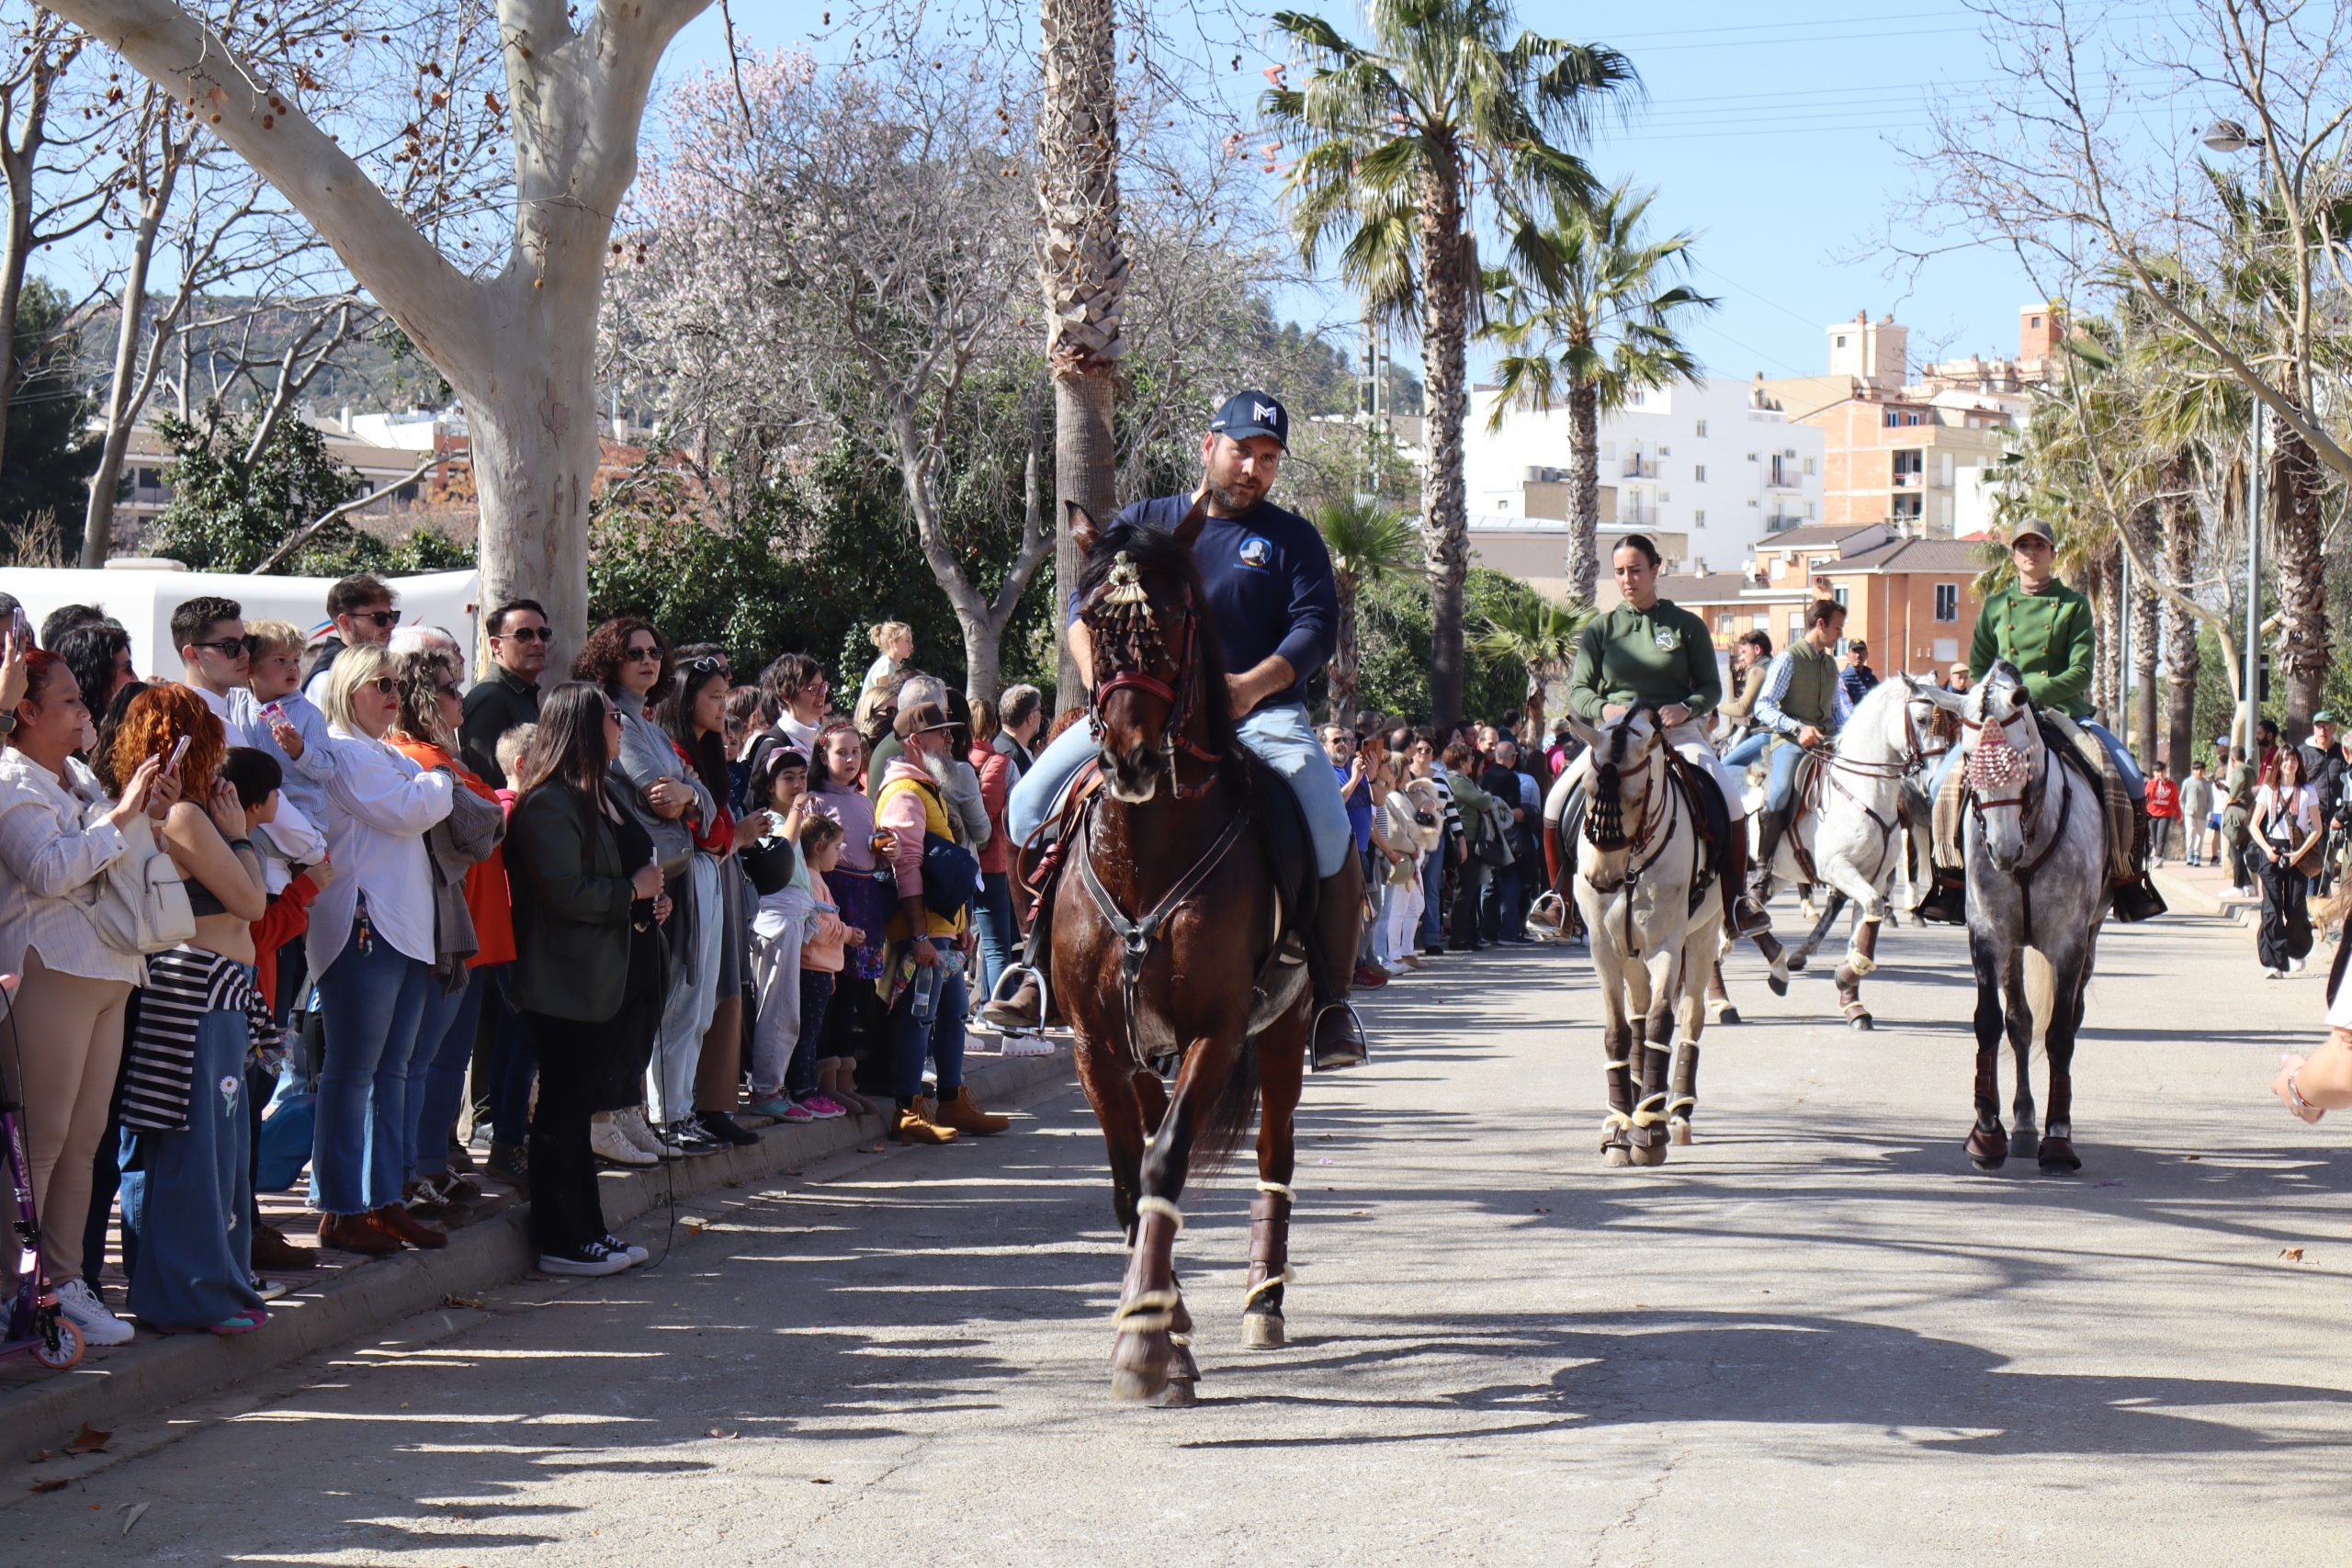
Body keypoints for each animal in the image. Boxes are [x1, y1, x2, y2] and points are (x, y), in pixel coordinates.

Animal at [1046, 501, 1315, 1405]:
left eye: (1170, 619)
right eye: (1098, 621)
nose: (1127, 758)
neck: (1147, 853)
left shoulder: (1218, 1029)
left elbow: (1164, 1164)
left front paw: (1145, 1347)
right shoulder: (1096, 1041)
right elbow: (1131, 1179)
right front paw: (1156, 1319)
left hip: (1287, 1032)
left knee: (1275, 1154)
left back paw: (1263, 1300)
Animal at [1564, 704, 1725, 1163]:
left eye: (1637, 797)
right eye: (1586, 788)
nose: (1601, 880)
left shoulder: (1665, 945)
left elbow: (1659, 1024)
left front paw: (1650, 1132)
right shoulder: (1604, 948)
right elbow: (1619, 1030)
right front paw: (1620, 1123)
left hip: (1703, 935)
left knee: (1691, 1014)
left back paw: (1676, 1113)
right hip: (1630, 953)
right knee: (1635, 1012)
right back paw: (1637, 1105)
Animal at [1747, 677, 1944, 1029]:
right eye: (1922, 719)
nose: (1933, 781)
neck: (1864, 791)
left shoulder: (1873, 878)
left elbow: (1863, 928)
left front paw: (1852, 999)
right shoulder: (1839, 869)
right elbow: (1870, 907)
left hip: (1779, 875)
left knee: (1747, 907)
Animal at [1930, 660, 2109, 1174]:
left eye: (2024, 758)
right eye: (1970, 759)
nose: (2002, 849)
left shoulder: (2069, 943)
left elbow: (2062, 1034)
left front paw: (2059, 1137)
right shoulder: (1988, 935)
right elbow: (1991, 1022)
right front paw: (1987, 1134)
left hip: (2089, 938)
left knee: (2068, 1019)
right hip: (2013, 947)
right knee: (2021, 1022)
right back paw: (2025, 1122)